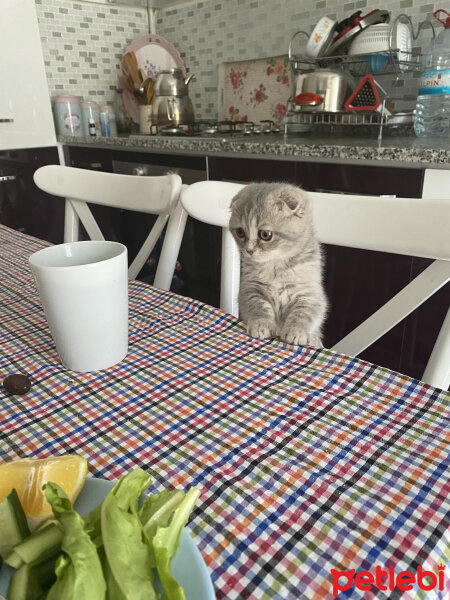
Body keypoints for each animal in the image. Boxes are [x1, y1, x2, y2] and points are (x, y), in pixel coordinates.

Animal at [229, 180, 326, 344]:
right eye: (240, 232)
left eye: (265, 234)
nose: (249, 250)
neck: (276, 267)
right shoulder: (250, 287)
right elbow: (258, 305)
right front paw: (261, 324)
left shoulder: (309, 293)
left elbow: (303, 313)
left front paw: (296, 331)